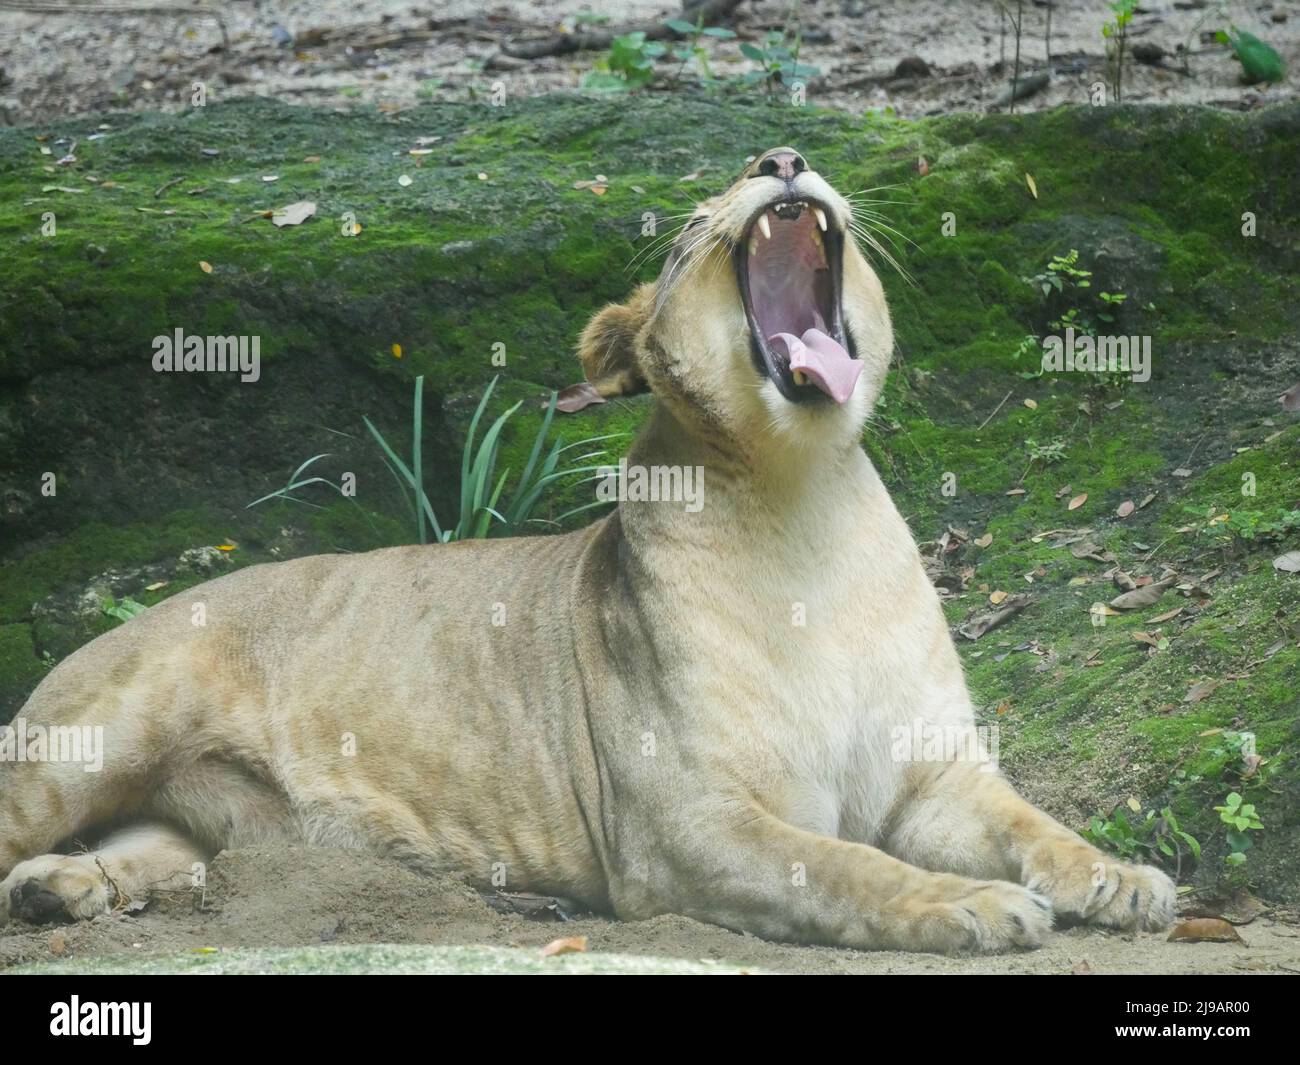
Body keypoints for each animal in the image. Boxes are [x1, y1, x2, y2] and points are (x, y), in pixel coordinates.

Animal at [0, 148, 1175, 952]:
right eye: (692, 225)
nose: (783, 161)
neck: (806, 501)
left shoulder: (932, 774)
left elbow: (1036, 824)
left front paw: (1121, 880)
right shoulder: (686, 826)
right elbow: (842, 867)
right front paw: (971, 904)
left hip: (189, 822)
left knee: (147, 850)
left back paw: (65, 890)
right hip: (86, 745)